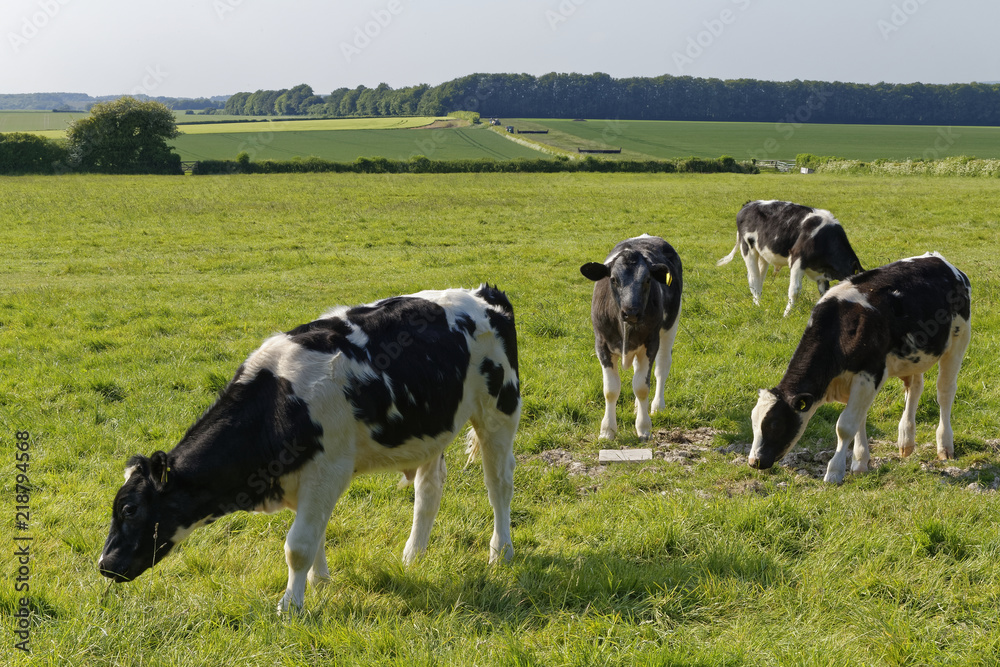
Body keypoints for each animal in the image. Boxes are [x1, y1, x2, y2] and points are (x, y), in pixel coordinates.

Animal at [99, 285, 521, 613]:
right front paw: (319, 582)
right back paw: (413, 555)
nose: (104, 564)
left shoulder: (327, 471)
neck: (278, 402)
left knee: (498, 484)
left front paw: (291, 606)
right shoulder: (300, 480)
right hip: (432, 430)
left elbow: (298, 544)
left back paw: (500, 552)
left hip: (500, 410)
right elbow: (314, 535)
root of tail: (482, 293)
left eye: (130, 509)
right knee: (428, 490)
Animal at [580, 234, 683, 441]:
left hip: (671, 325)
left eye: (647, 280)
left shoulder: (651, 343)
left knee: (662, 367)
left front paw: (643, 428)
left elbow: (642, 387)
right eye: (613, 279)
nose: (631, 312)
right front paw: (607, 430)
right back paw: (637, 406)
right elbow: (611, 390)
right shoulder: (601, 344)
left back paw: (657, 406)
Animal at [717, 200, 864, 316]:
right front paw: (786, 314)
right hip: (748, 248)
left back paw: (758, 302)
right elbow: (794, 290)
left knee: (759, 278)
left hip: (763, 254)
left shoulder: (822, 273)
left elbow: (825, 292)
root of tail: (749, 204)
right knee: (753, 279)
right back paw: (758, 305)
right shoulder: (797, 259)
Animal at [748, 252, 971, 484]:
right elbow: (860, 419)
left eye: (775, 424)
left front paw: (834, 471)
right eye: (754, 423)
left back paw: (945, 446)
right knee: (915, 388)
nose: (754, 461)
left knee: (945, 392)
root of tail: (938, 259)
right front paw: (860, 462)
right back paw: (906, 441)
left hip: (959, 339)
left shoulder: (868, 374)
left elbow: (845, 426)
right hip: (913, 356)